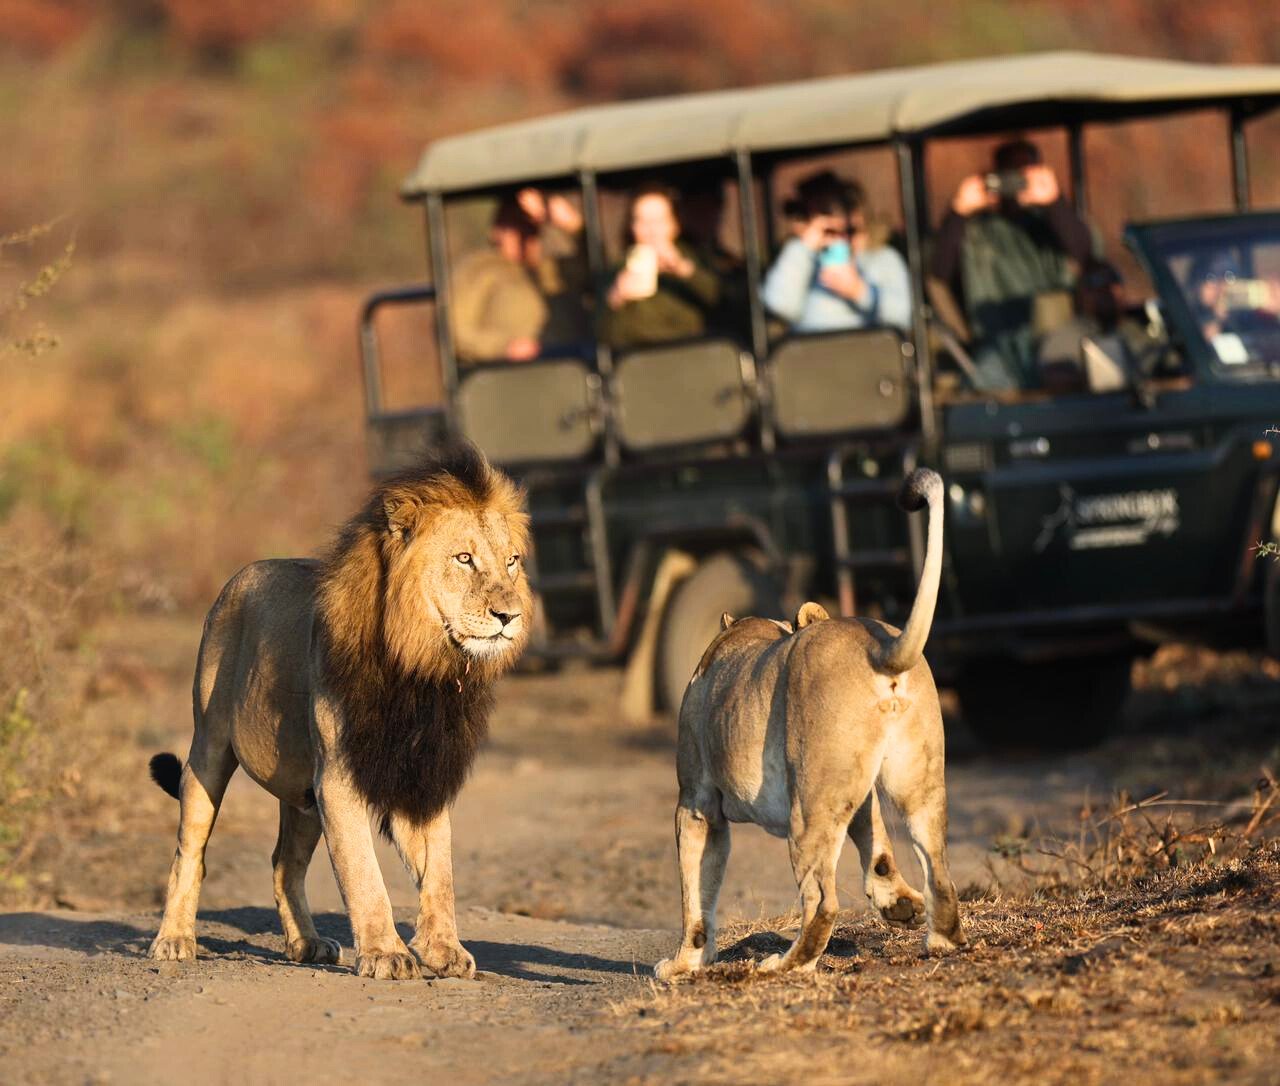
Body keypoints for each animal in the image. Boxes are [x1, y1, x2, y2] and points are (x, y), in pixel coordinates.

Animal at [147, 442, 531, 980]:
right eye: (464, 558)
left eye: (512, 561)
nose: (510, 615)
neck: (420, 669)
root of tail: (240, 576)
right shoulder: (337, 775)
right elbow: (363, 871)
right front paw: (387, 953)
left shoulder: (425, 772)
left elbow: (440, 871)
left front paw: (443, 949)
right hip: (210, 748)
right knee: (191, 851)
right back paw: (174, 940)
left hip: (301, 792)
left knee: (283, 863)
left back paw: (306, 943)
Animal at [655, 467, 964, 979]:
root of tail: (879, 649)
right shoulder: (856, 790)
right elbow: (875, 839)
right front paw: (897, 904)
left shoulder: (696, 803)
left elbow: (695, 894)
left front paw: (684, 963)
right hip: (912, 784)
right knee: (938, 869)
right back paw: (941, 939)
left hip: (809, 807)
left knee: (822, 901)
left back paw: (783, 965)